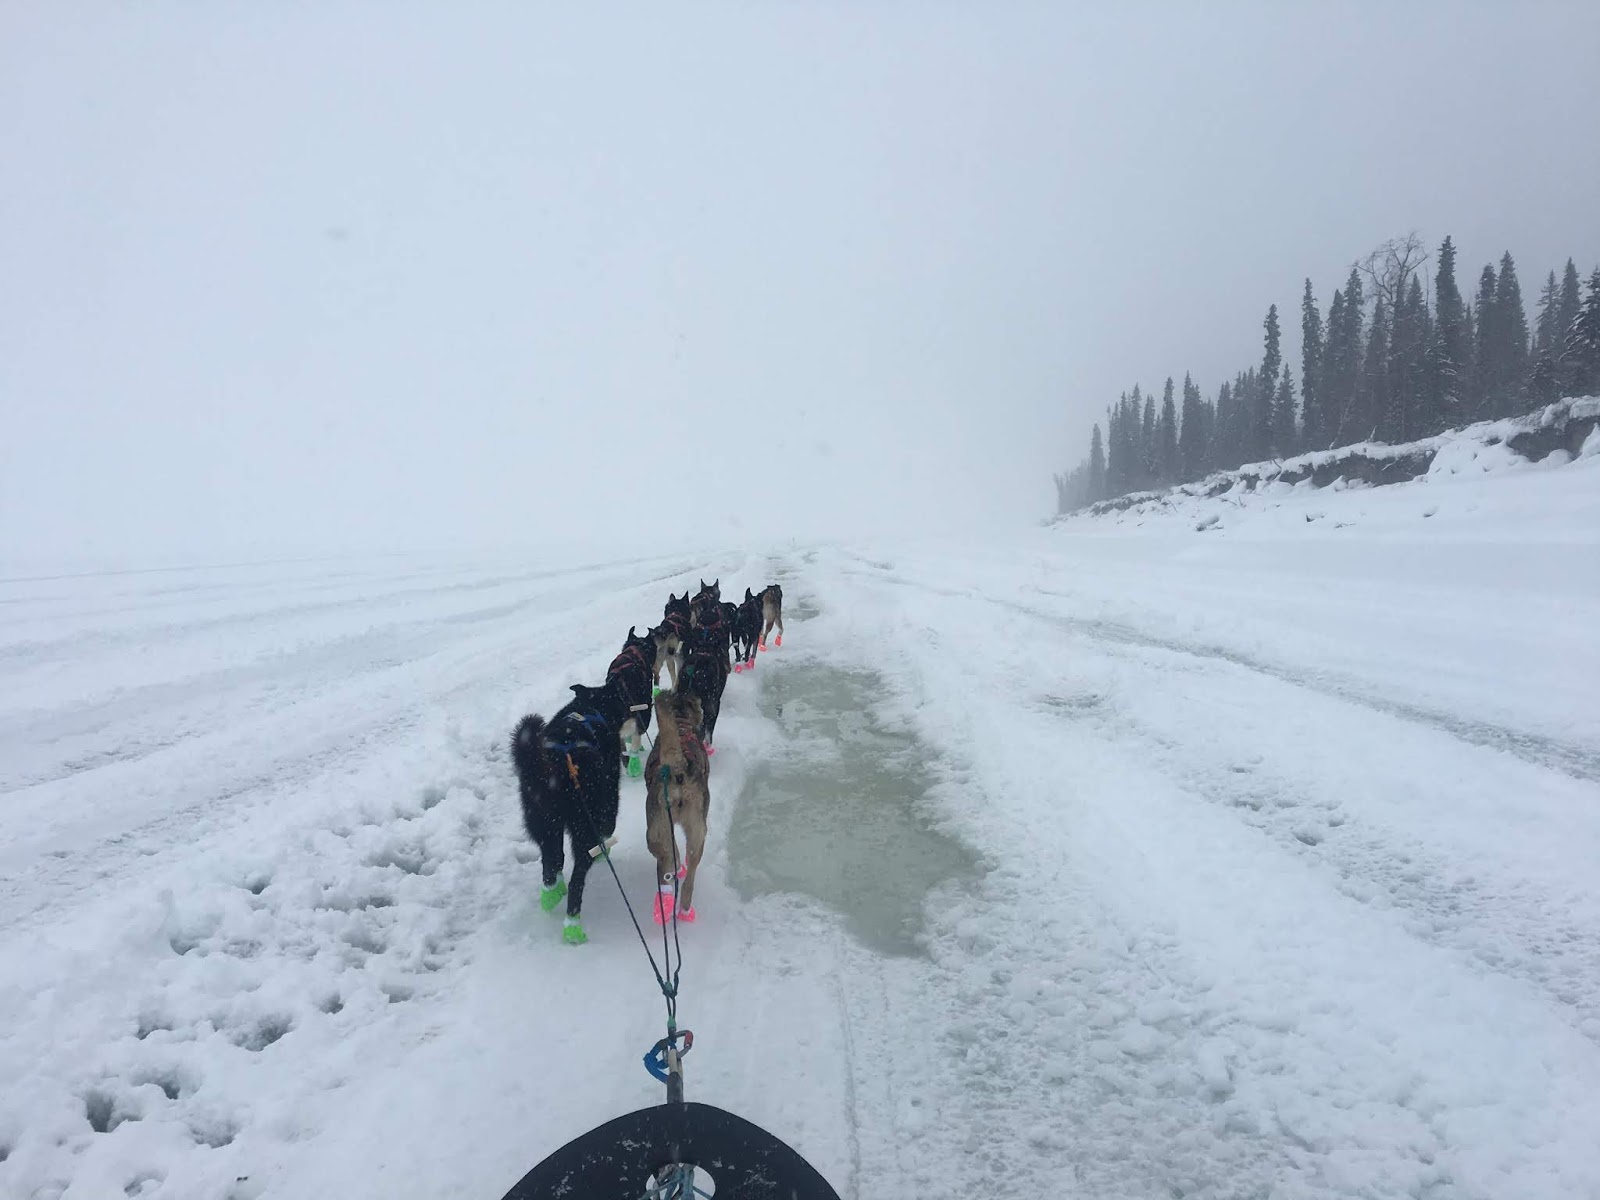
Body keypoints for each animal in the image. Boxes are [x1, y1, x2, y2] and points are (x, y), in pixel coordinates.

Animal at [515, 681, 633, 947]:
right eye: (620, 698)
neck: (591, 707)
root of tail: (558, 762)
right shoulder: (609, 799)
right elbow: (608, 827)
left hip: (543, 822)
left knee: (552, 861)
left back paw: (552, 893)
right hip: (583, 827)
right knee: (577, 878)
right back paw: (572, 925)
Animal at [646, 691, 710, 928]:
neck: (681, 724)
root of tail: (676, 768)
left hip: (658, 829)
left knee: (669, 863)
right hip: (695, 830)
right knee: (687, 870)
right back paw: (683, 907)